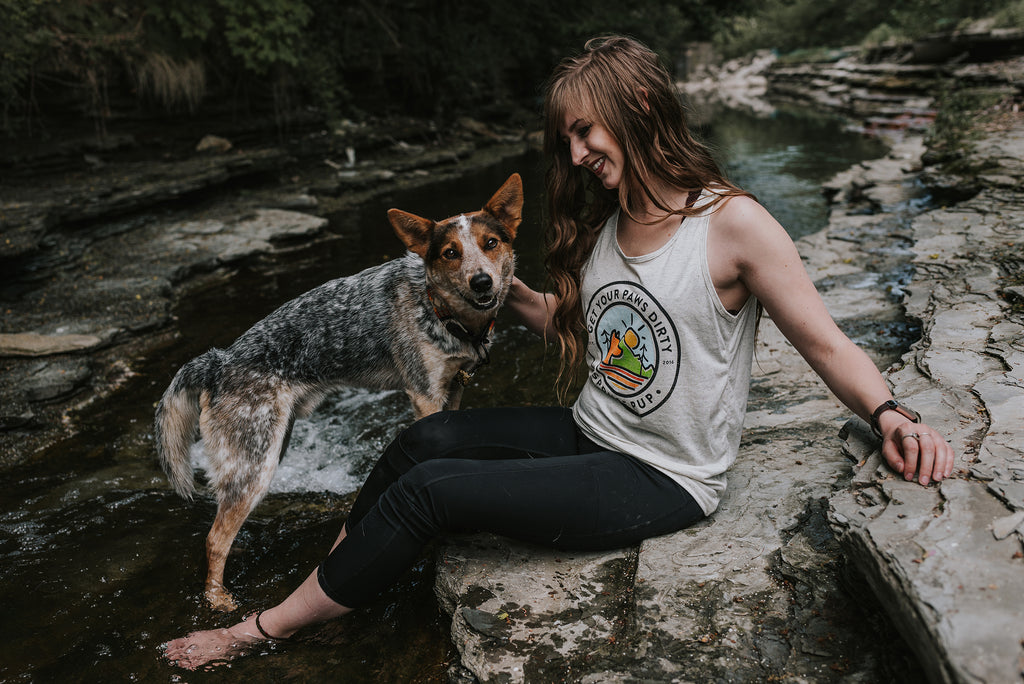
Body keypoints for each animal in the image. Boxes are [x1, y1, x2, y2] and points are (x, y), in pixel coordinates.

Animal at [155, 171, 524, 610]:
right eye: (451, 253)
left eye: (491, 243)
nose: (482, 281)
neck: (441, 309)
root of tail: (217, 361)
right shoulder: (424, 394)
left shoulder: (452, 389)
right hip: (256, 465)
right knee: (213, 538)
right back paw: (218, 599)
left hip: (271, 446)